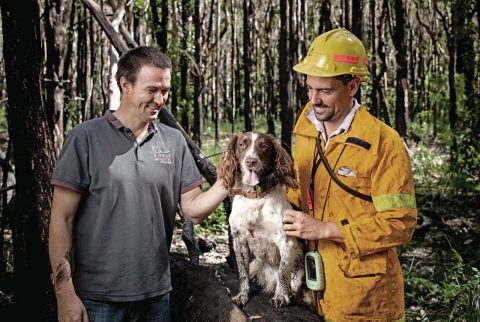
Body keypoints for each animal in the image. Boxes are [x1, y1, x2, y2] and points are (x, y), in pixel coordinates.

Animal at [218, 133, 304, 306]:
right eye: (242, 145)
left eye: (264, 146)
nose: (250, 161)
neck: (255, 196)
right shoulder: (239, 240)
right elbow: (242, 273)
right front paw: (243, 295)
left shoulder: (287, 242)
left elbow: (282, 273)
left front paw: (281, 296)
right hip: (255, 264)